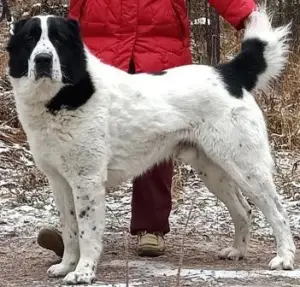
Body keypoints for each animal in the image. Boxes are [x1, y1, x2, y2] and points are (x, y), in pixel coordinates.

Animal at [6, 6, 296, 286]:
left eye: (59, 39)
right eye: (30, 39)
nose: (43, 60)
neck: (62, 97)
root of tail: (229, 73)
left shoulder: (87, 181)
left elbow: (87, 231)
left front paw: (84, 272)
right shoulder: (59, 182)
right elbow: (69, 229)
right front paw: (66, 265)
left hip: (246, 167)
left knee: (278, 212)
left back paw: (284, 258)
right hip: (214, 171)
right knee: (244, 210)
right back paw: (237, 251)